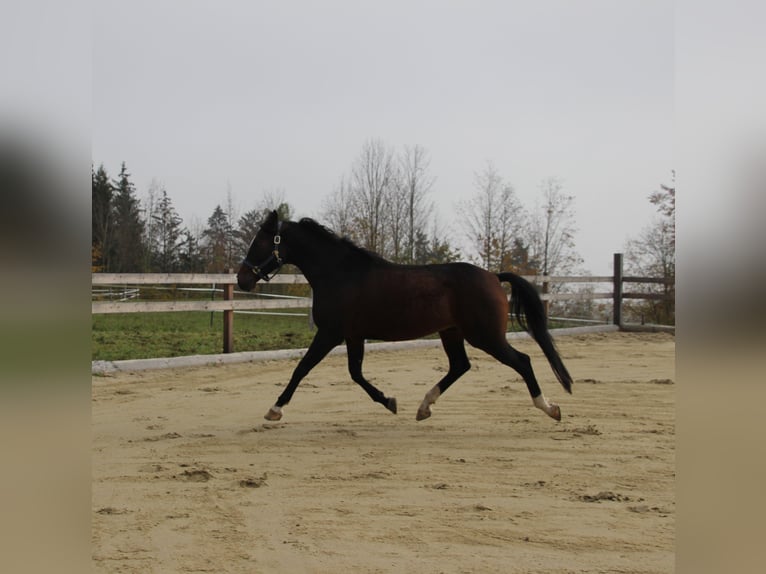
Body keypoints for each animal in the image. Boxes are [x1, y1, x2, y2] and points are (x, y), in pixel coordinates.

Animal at [237, 210, 572, 424]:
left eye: (261, 242)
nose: (242, 279)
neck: (341, 273)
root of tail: (492, 275)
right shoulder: (353, 335)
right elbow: (355, 374)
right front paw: (390, 401)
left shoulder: (331, 333)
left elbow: (302, 369)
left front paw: (275, 409)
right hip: (452, 332)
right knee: (460, 365)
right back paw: (424, 407)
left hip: (485, 336)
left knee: (522, 362)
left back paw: (550, 408)